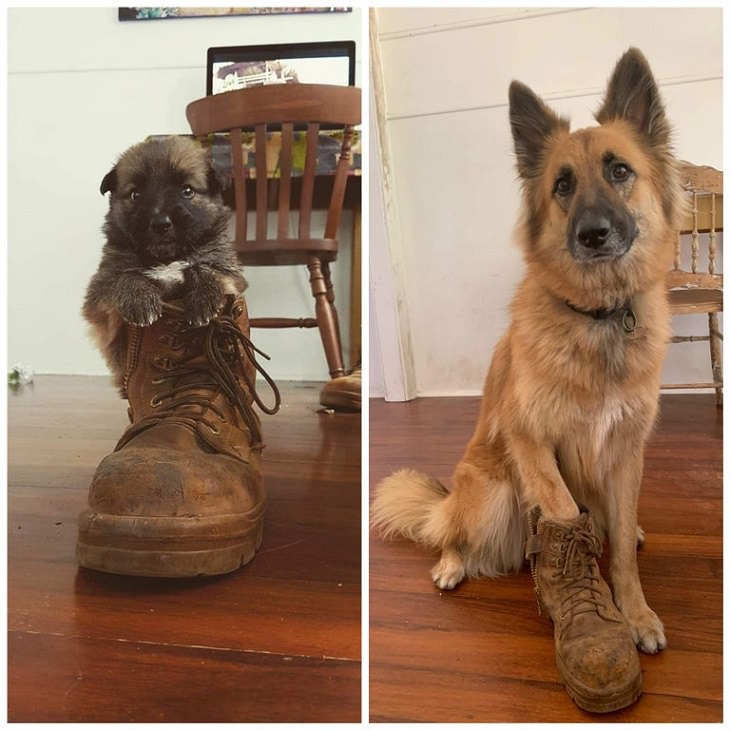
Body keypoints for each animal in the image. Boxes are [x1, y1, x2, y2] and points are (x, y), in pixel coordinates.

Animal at [83, 134, 245, 390]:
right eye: (135, 194)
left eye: (187, 190)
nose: (161, 223)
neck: (167, 258)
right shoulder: (99, 288)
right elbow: (126, 276)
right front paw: (140, 301)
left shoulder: (231, 273)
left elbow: (204, 267)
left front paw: (204, 299)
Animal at [370, 47, 684, 700]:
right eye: (562, 185)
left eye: (620, 171)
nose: (593, 234)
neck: (597, 317)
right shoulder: (531, 440)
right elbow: (563, 512)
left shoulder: (626, 452)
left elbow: (620, 549)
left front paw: (635, 612)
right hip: (490, 488)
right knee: (451, 531)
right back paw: (451, 563)